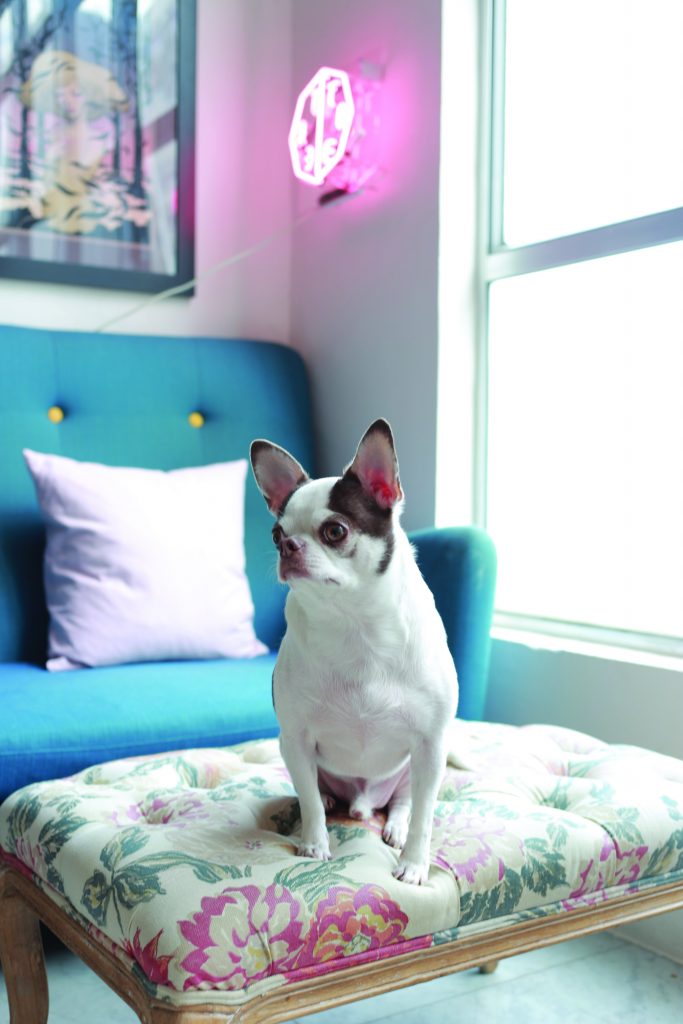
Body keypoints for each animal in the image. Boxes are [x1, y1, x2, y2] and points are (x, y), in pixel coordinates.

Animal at [248, 419, 456, 884]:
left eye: (335, 531)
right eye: (276, 534)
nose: (288, 546)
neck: (355, 624)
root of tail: (363, 801)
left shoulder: (432, 745)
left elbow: (425, 817)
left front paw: (414, 866)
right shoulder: (296, 737)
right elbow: (308, 800)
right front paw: (314, 845)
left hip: (414, 767)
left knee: (404, 803)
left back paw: (395, 826)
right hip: (294, 753)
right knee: (314, 790)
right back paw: (330, 802)